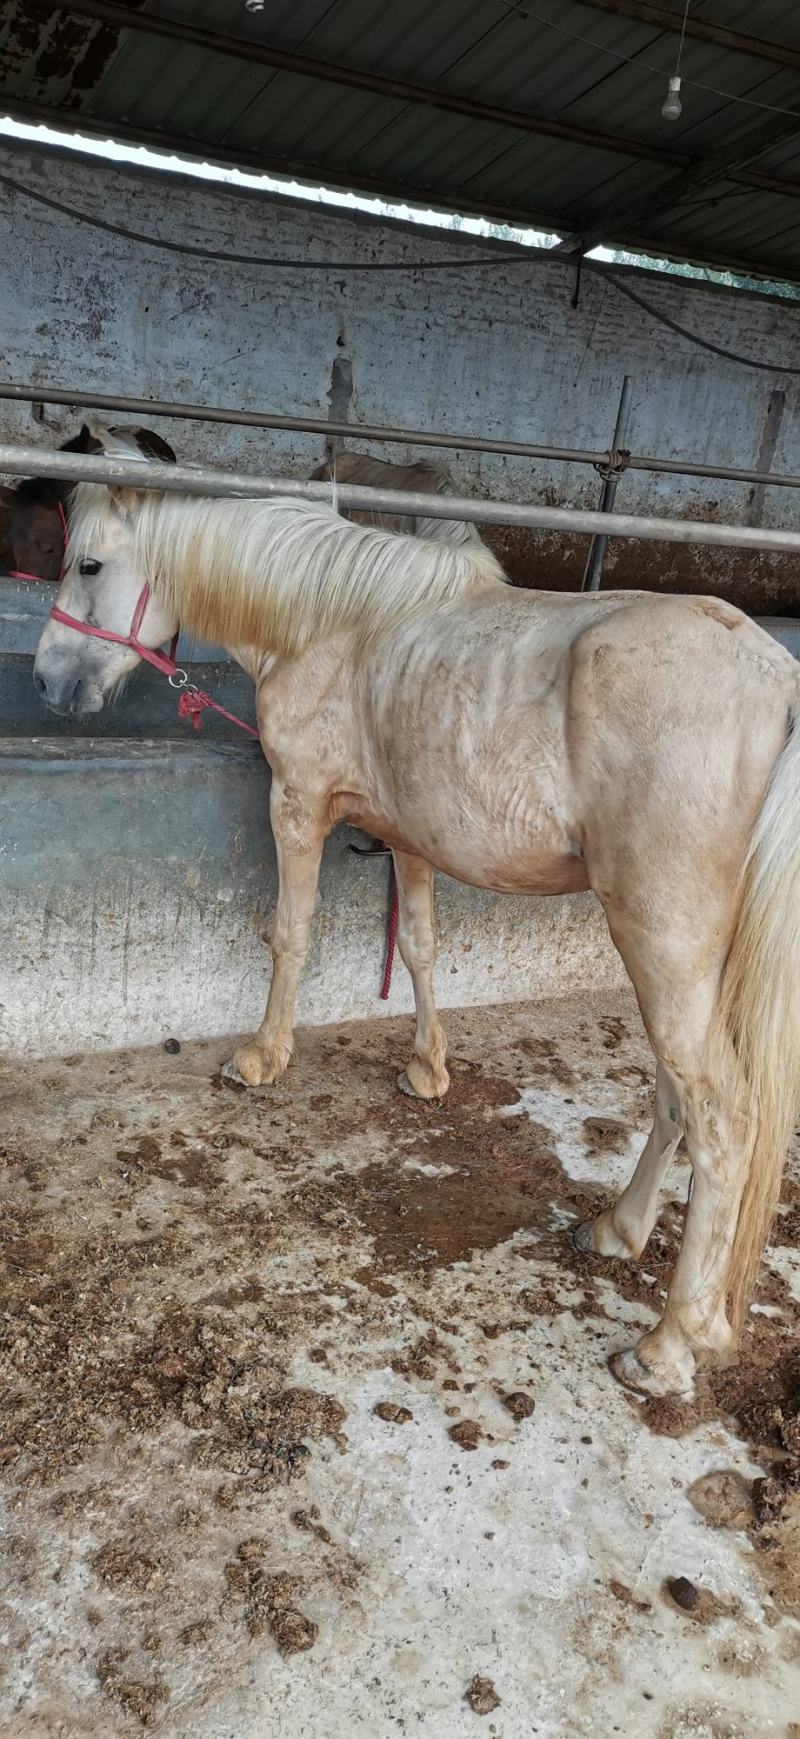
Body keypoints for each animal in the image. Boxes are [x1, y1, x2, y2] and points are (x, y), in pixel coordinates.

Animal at [32, 426, 800, 1401]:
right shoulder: (409, 837)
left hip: (663, 942)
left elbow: (291, 935)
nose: (49, 682)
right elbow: (424, 949)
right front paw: (428, 1069)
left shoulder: (296, 806)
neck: (331, 624)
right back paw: (616, 1231)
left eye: (89, 564)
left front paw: (261, 1058)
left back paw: (669, 1344)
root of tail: (779, 683)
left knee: (721, 1120)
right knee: (674, 1097)